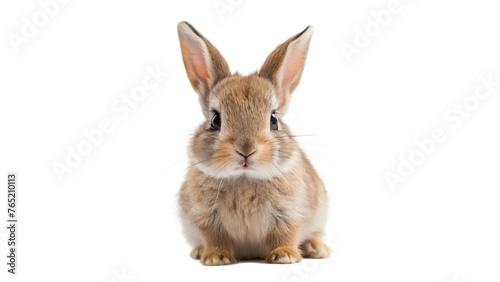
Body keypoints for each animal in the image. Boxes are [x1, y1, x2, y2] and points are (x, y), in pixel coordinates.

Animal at [178, 21, 330, 264]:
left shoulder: (289, 213)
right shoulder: (206, 217)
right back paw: (199, 251)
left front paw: (285, 256)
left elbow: (286, 234)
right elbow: (214, 236)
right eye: (215, 120)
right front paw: (216, 258)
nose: (246, 150)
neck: (244, 178)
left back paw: (316, 248)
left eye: (274, 120)